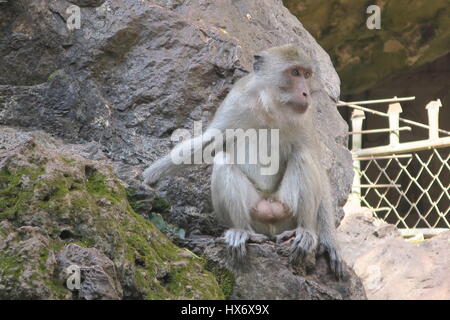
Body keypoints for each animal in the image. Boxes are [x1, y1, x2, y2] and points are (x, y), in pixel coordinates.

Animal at [144, 43, 344, 278]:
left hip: (285, 212)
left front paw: (330, 242)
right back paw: (242, 232)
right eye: (294, 72)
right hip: (254, 214)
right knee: (223, 160)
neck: (271, 107)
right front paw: (149, 177)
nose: (305, 92)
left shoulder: (305, 117)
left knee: (302, 156)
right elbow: (208, 142)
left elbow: (316, 163)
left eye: (307, 74)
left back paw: (304, 233)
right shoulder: (237, 100)